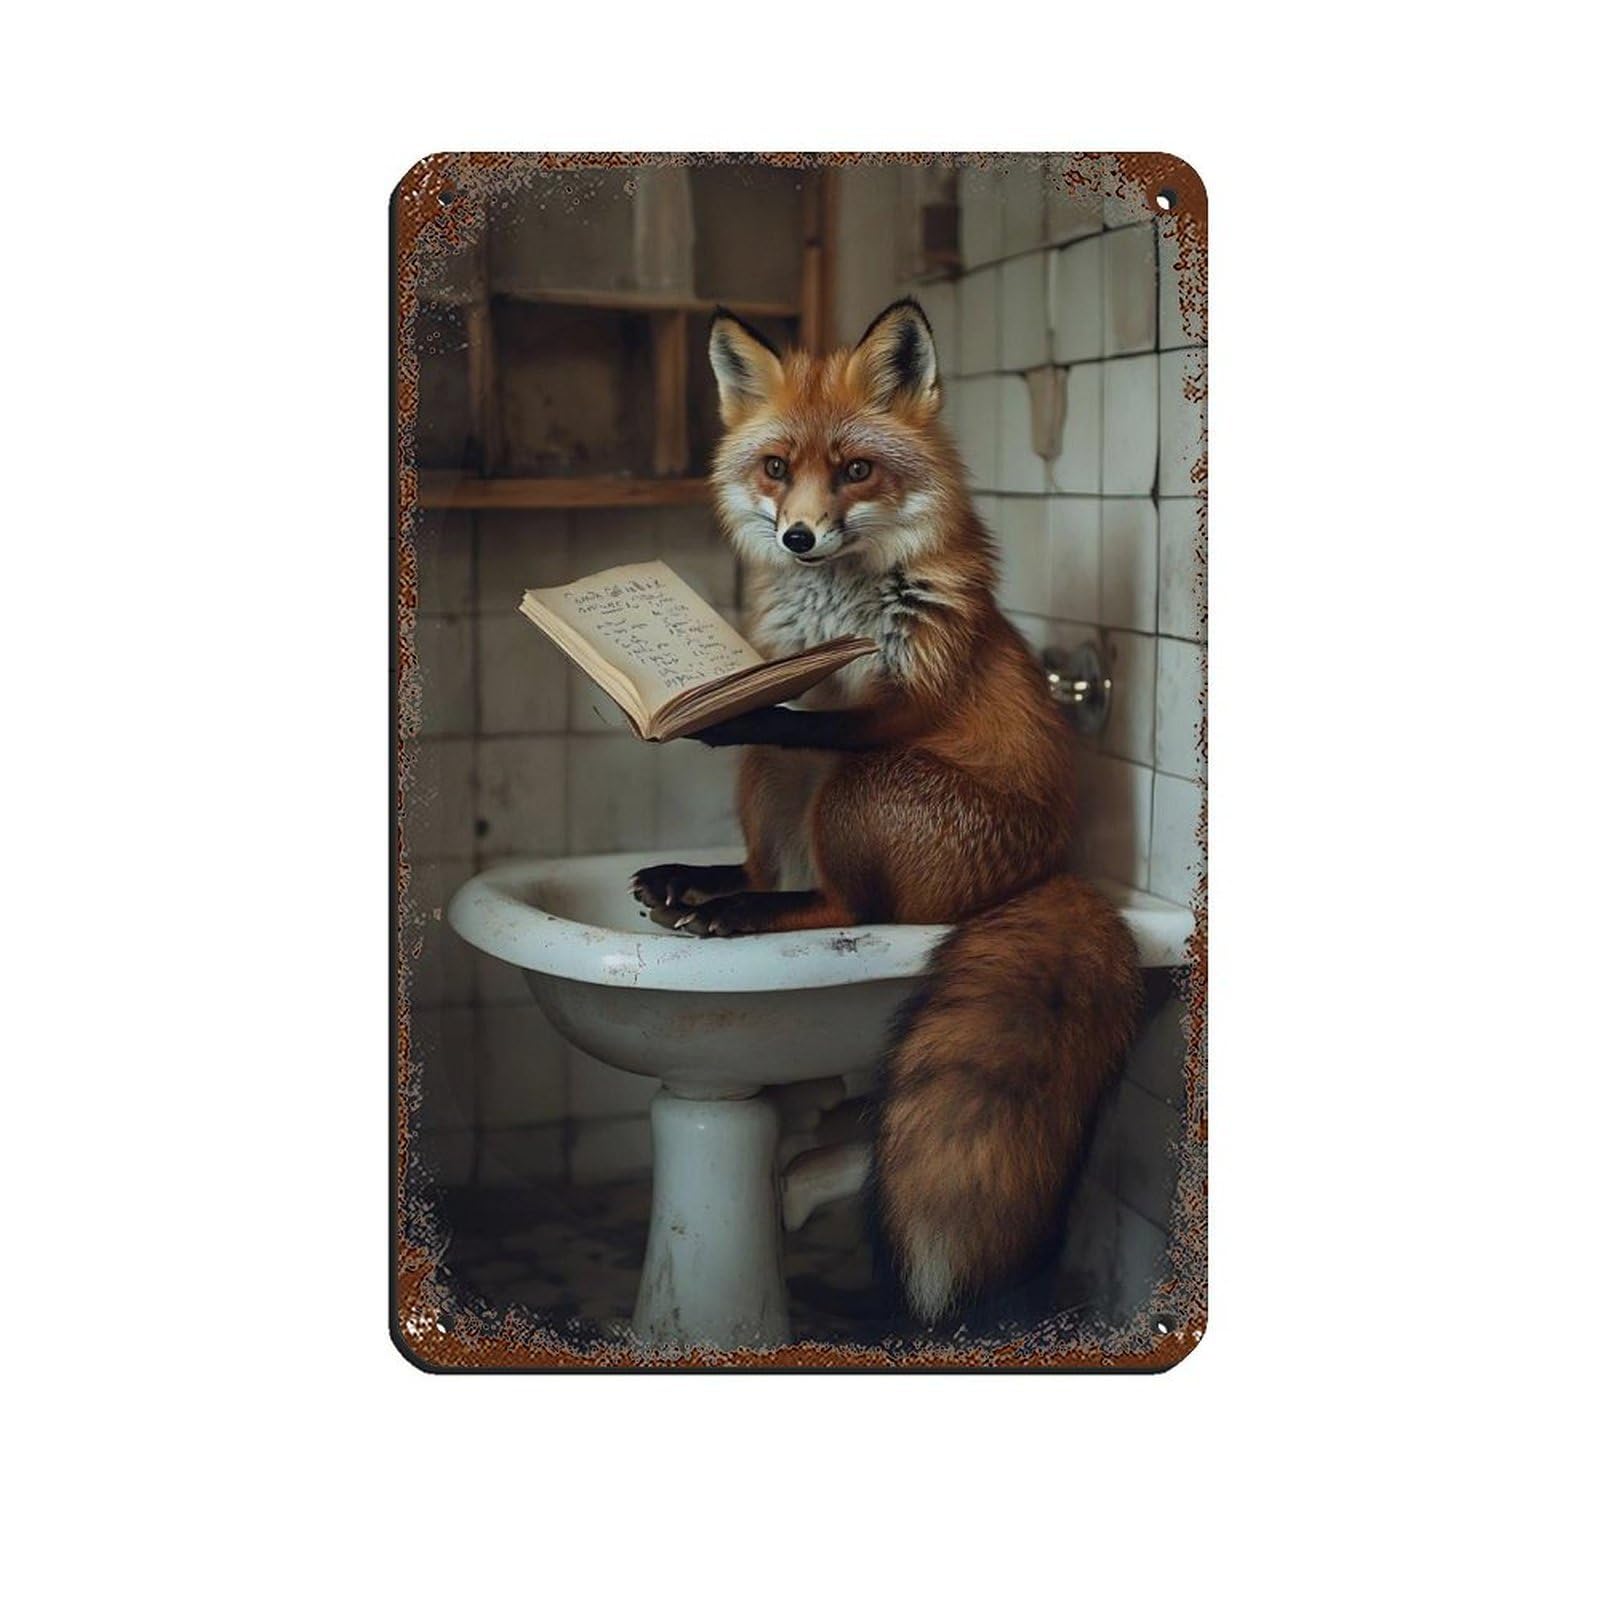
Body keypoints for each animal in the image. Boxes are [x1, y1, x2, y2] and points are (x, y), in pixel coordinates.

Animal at [630, 298, 1143, 1325]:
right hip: (771, 788)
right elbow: (791, 723)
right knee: (770, 865)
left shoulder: (905, 703)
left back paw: (736, 914)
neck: (837, 614)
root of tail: (1047, 871)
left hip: (861, 790)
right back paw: (700, 886)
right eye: (776, 468)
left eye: (857, 470)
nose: (798, 538)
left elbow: (808, 720)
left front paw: (741, 708)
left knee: (849, 904)